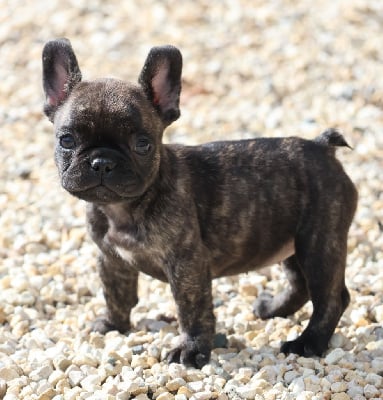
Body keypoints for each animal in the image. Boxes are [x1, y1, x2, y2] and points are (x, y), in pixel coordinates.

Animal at [43, 39, 358, 368]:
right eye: (66, 140)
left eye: (143, 144)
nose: (102, 162)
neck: (123, 209)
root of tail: (322, 146)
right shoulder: (111, 258)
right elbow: (116, 295)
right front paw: (113, 325)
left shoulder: (187, 264)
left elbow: (191, 309)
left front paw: (191, 350)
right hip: (290, 241)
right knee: (300, 284)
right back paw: (272, 309)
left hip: (319, 242)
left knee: (331, 297)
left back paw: (308, 343)